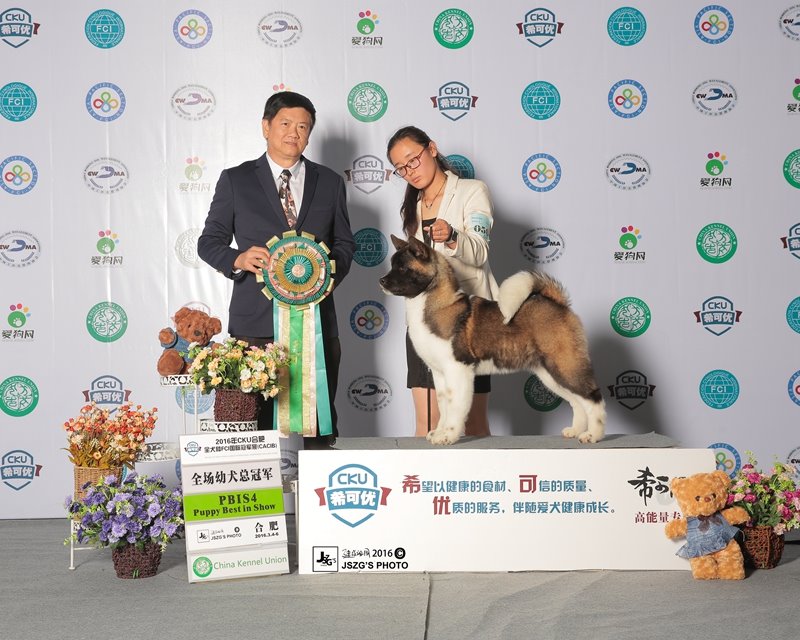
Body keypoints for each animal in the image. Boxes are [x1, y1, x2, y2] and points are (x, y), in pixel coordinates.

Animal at [379, 235, 606, 445]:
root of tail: (558, 303)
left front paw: (449, 436)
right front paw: (439, 432)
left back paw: (593, 435)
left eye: (402, 268)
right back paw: (575, 431)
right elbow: (444, 407)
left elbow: (455, 408)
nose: (381, 281)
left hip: (565, 365)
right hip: (551, 373)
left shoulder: (458, 370)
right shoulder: (440, 374)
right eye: (393, 265)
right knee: (577, 402)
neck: (436, 305)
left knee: (593, 398)